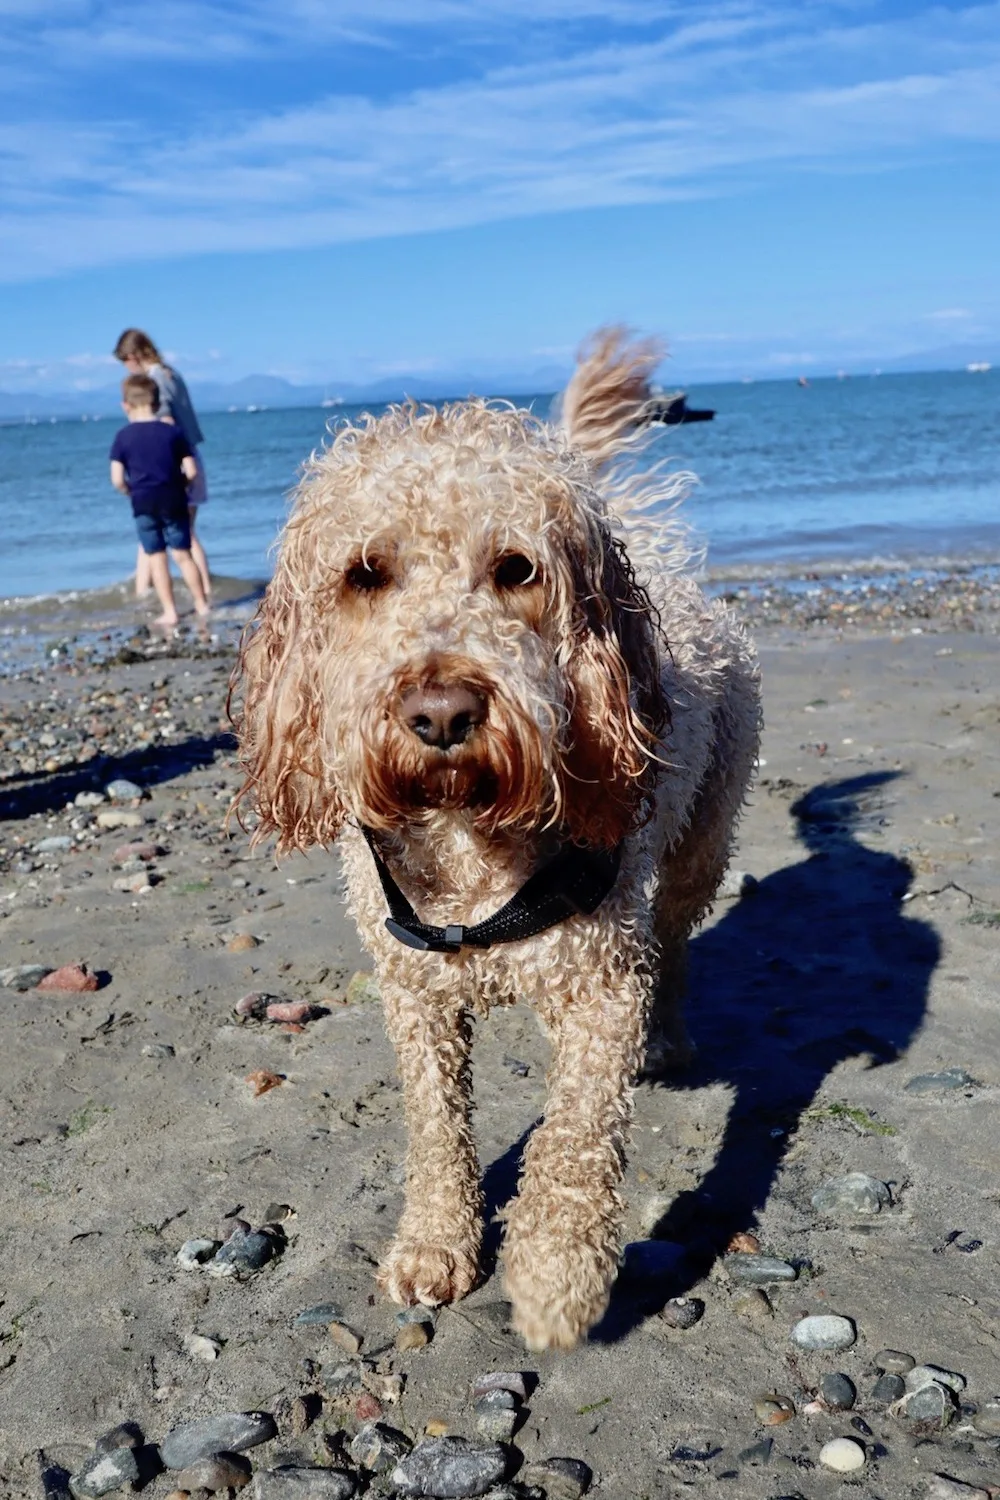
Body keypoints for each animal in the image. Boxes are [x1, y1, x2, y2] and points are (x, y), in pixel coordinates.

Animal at [230, 331, 761, 1362]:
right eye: (365, 574)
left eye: (516, 569)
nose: (441, 711)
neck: (467, 836)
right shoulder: (414, 994)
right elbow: (436, 1127)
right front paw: (437, 1244)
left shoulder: (603, 983)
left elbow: (575, 1134)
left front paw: (556, 1276)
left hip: (699, 844)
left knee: (675, 941)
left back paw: (669, 1036)